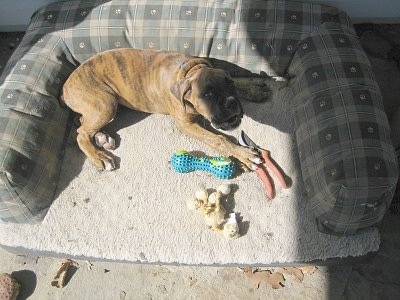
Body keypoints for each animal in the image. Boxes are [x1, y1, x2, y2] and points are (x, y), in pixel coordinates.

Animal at [61, 48, 260, 171]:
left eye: (230, 84)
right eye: (208, 94)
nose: (231, 103)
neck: (189, 70)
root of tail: (65, 86)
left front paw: (253, 88)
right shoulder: (186, 125)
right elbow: (219, 139)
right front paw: (244, 155)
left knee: (82, 122)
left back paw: (102, 138)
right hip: (106, 104)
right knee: (81, 133)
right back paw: (99, 156)